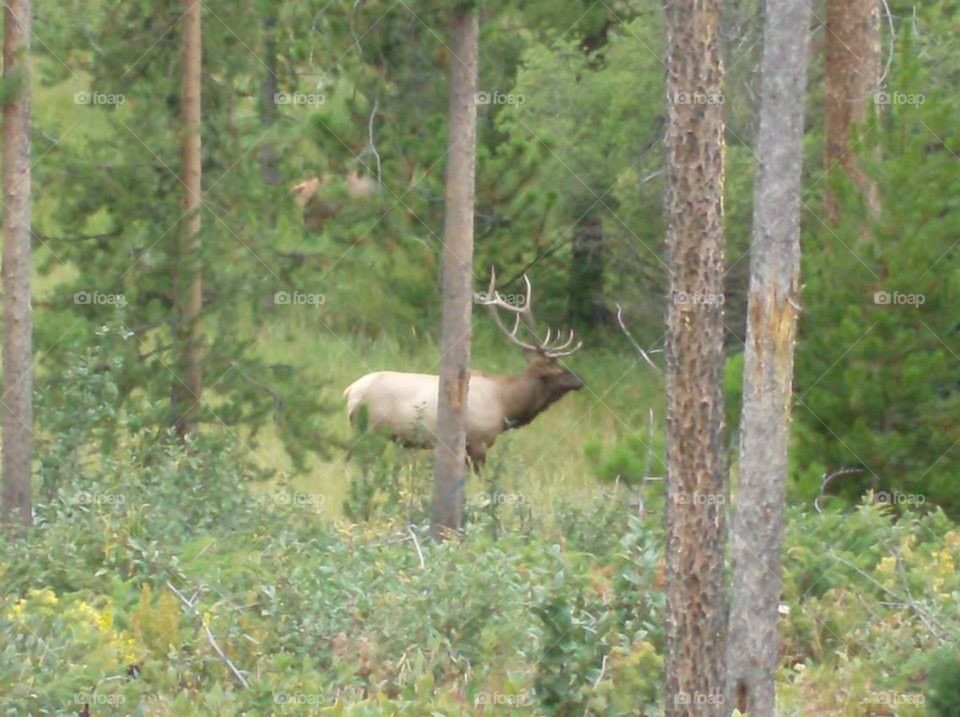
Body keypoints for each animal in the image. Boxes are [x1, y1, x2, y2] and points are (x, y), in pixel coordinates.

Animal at [344, 268, 584, 464]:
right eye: (560, 371)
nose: (580, 381)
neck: (506, 405)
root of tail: (349, 392)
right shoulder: (477, 442)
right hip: (372, 431)